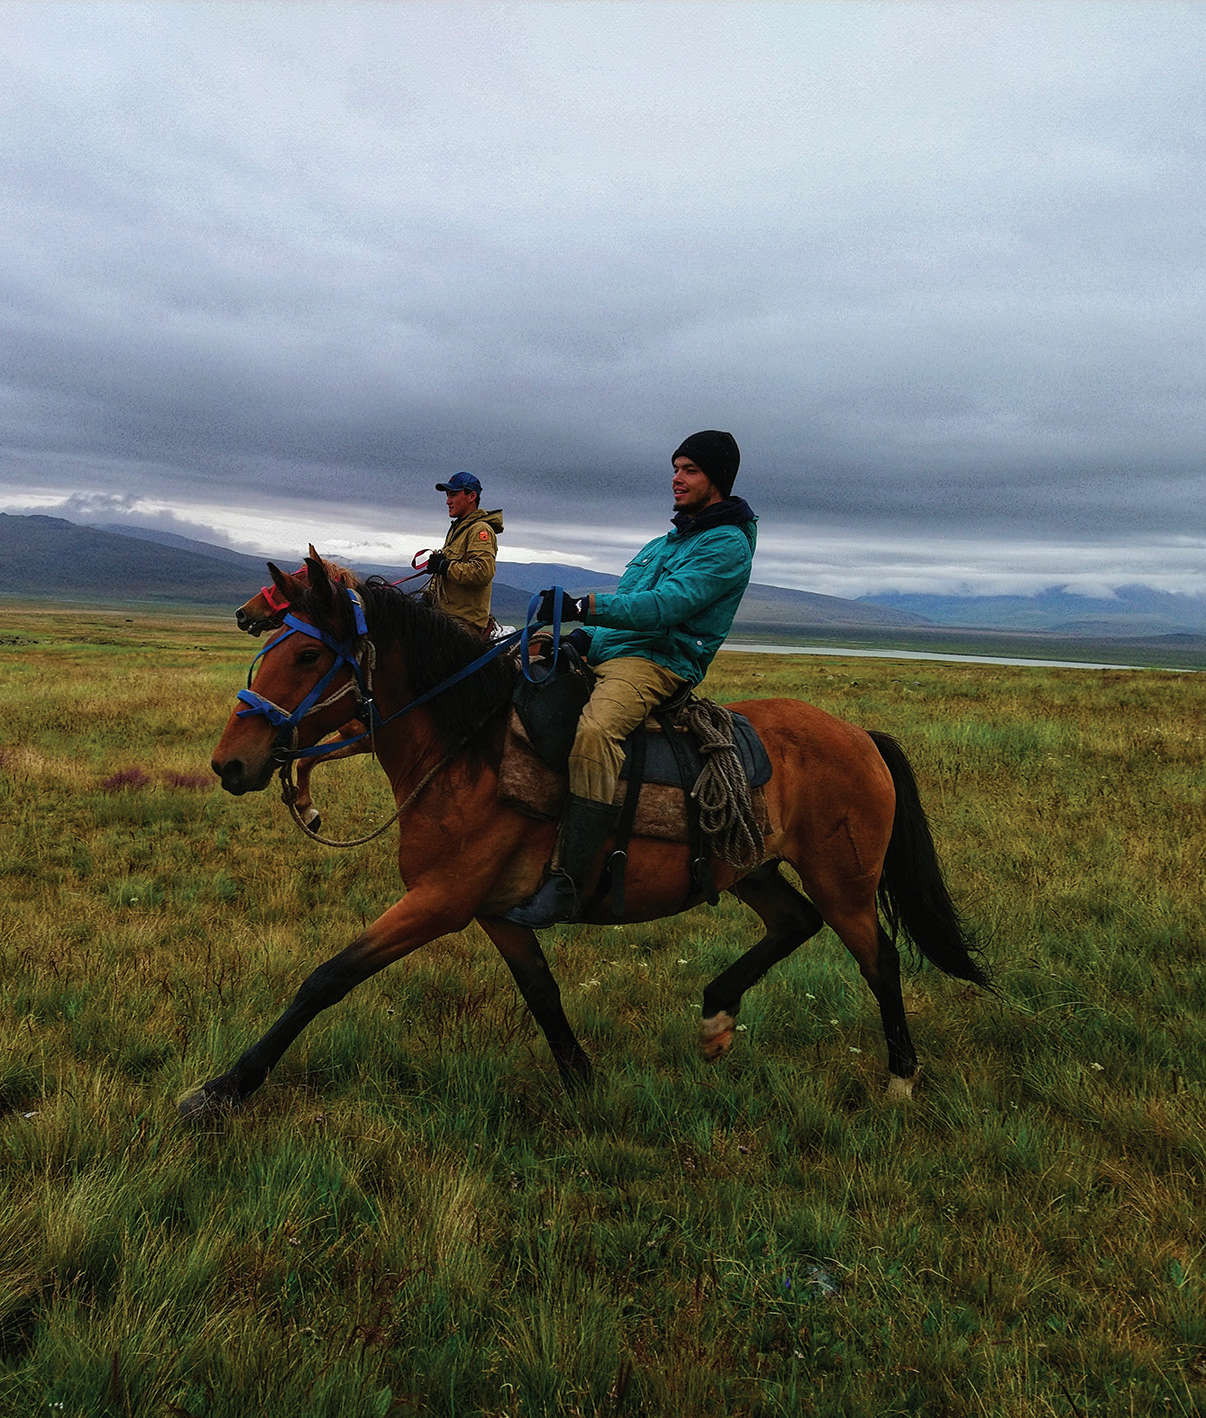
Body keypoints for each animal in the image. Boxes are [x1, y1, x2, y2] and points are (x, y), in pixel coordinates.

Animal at [183, 553, 981, 1117]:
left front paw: (224, 1089)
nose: (231, 762)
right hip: (749, 866)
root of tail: (863, 738)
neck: (466, 749)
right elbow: (542, 991)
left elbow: (327, 978)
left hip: (844, 880)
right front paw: (584, 1082)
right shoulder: (496, 910)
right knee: (794, 922)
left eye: (309, 655)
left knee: (879, 960)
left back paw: (900, 1079)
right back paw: (717, 1016)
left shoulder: (439, 901)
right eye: (275, 647)